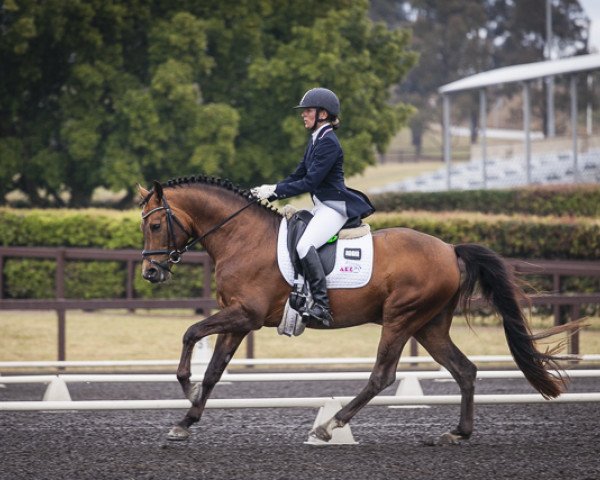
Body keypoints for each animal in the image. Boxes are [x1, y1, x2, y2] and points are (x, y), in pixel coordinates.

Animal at [139, 174, 580, 444]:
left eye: (155, 226)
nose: (150, 272)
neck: (241, 237)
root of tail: (450, 249)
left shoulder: (245, 315)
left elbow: (191, 333)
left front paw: (186, 387)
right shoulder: (238, 320)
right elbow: (214, 369)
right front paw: (186, 420)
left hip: (401, 319)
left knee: (382, 376)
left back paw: (330, 425)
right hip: (429, 326)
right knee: (464, 370)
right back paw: (458, 432)